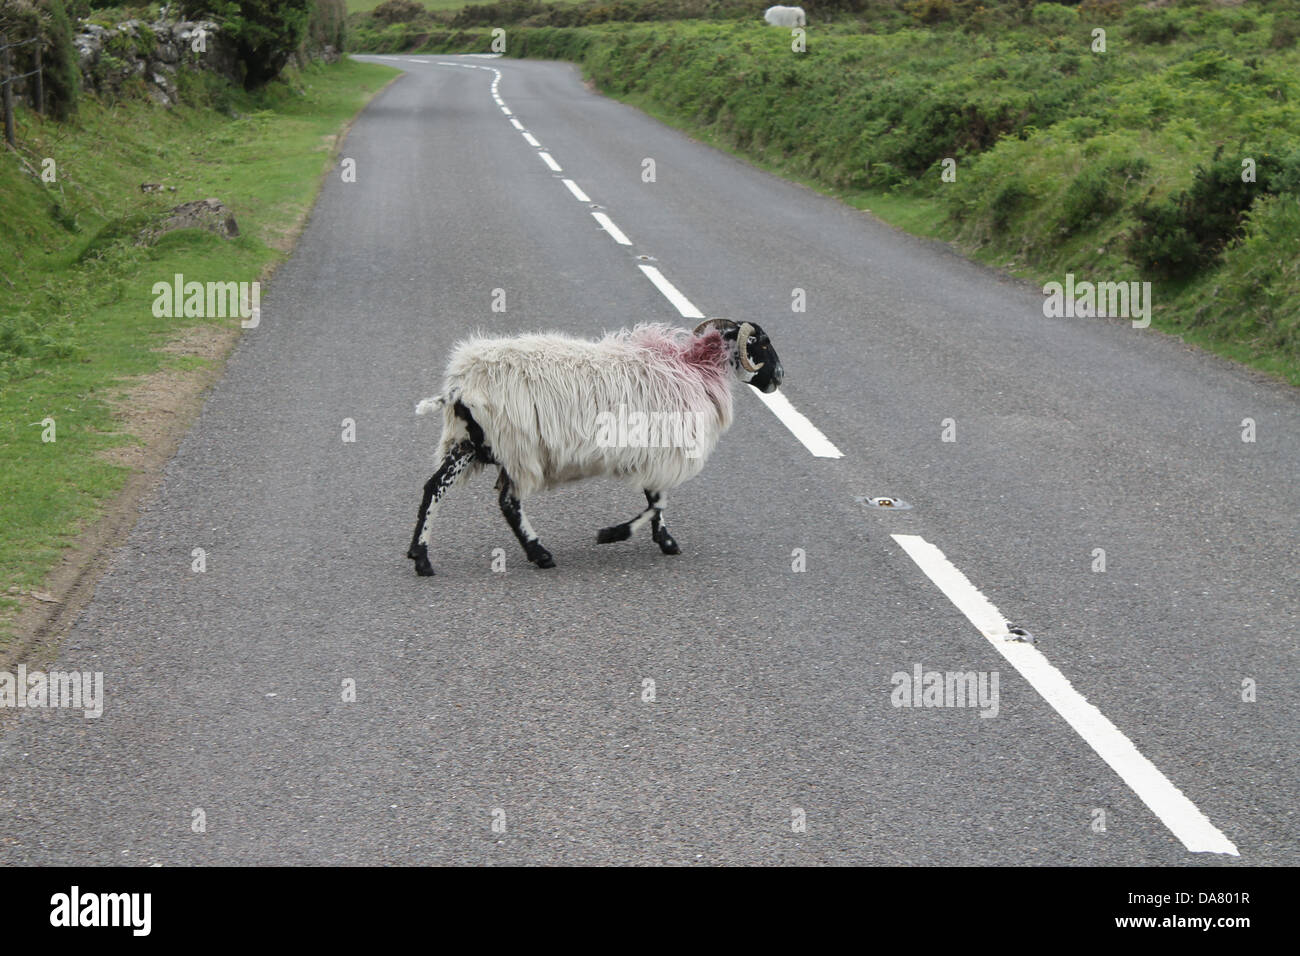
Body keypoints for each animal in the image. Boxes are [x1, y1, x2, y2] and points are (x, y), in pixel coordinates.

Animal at [405, 319, 780, 574]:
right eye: (761, 344)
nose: (779, 378)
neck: (692, 366)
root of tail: (461, 386)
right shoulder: (659, 451)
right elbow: (657, 502)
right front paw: (614, 534)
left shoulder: (654, 452)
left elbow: (655, 501)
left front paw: (663, 541)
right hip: (515, 447)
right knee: (508, 502)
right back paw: (540, 554)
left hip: (471, 442)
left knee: (435, 487)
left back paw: (420, 557)